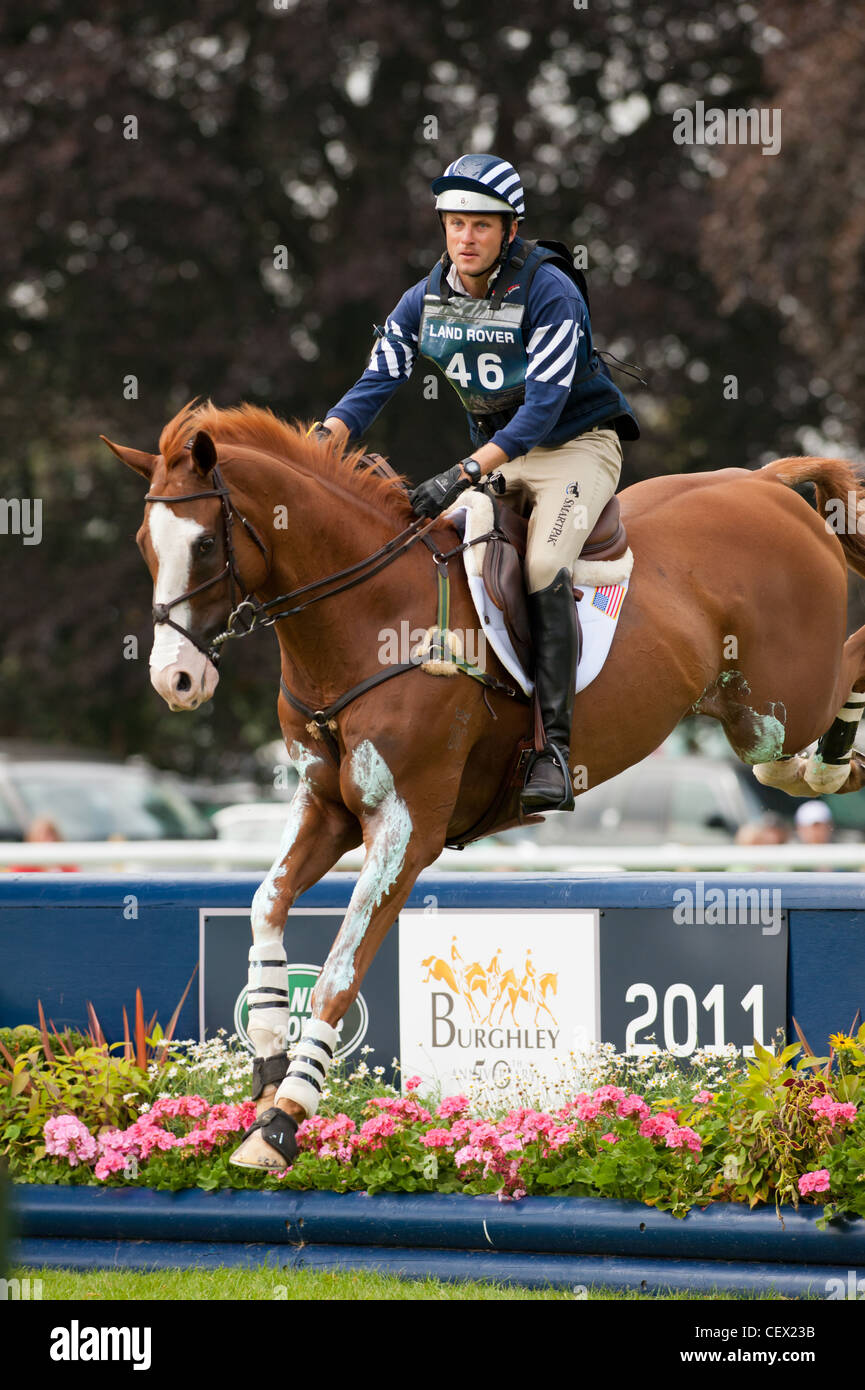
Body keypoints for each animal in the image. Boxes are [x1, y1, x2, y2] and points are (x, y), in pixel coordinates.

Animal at [104, 405, 865, 1173]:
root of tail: (764, 485)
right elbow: (266, 903)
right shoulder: (327, 809)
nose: (175, 681)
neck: (363, 616)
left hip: (783, 698)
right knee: (785, 767)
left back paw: (841, 755)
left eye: (205, 545)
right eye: (144, 544)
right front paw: (265, 1063)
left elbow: (340, 970)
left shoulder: (406, 827)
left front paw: (283, 1120)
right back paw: (841, 763)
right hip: (754, 721)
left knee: (839, 678)